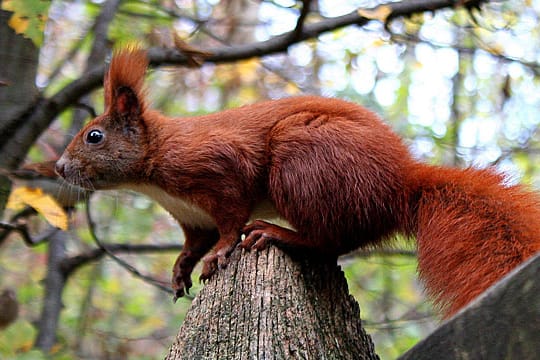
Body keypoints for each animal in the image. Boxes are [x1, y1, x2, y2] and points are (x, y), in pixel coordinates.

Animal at [54, 47, 540, 318]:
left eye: (94, 136)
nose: (58, 168)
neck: (153, 173)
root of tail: (399, 183)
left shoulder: (221, 170)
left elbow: (230, 222)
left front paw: (218, 256)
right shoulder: (192, 218)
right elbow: (193, 243)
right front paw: (180, 269)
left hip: (303, 157)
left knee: (329, 240)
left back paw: (277, 233)